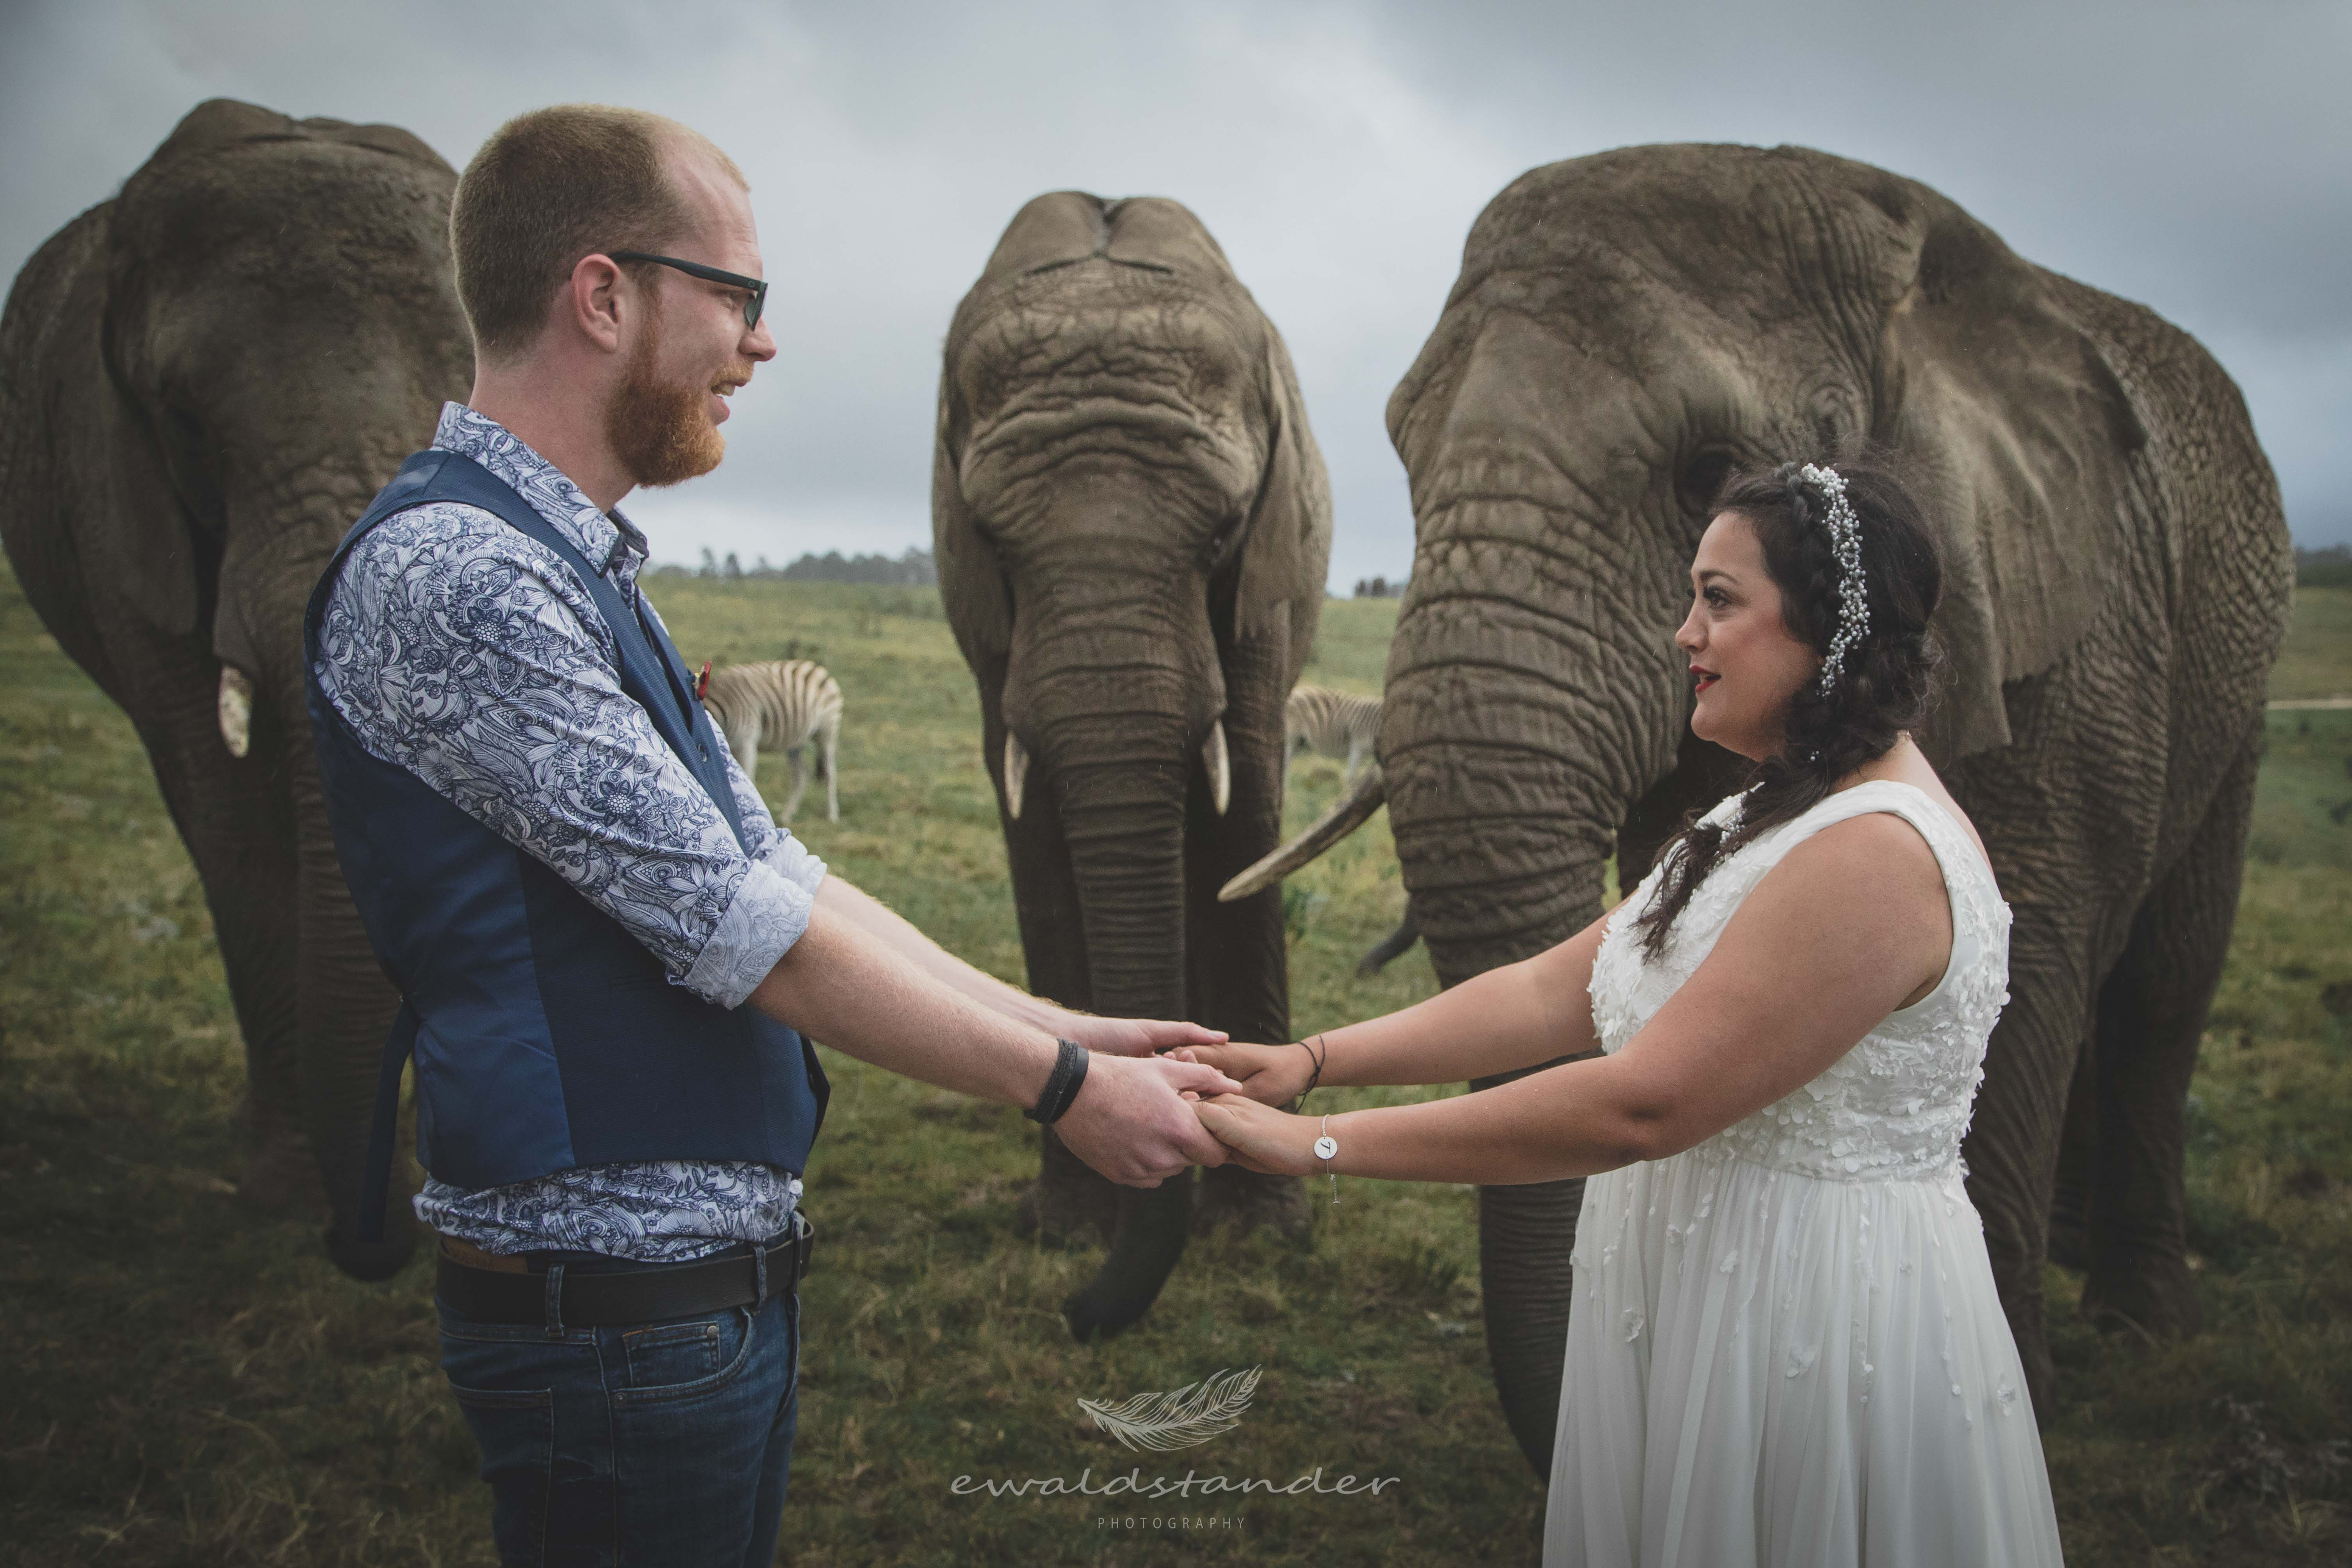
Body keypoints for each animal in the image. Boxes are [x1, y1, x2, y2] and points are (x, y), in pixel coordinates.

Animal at [934, 192, 1333, 1339]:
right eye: (993, 539)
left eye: (1223, 530)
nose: (1076, 1315)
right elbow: (1033, 829)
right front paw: (1068, 1227)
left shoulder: (1265, 586)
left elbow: (1244, 814)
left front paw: (1259, 1234)